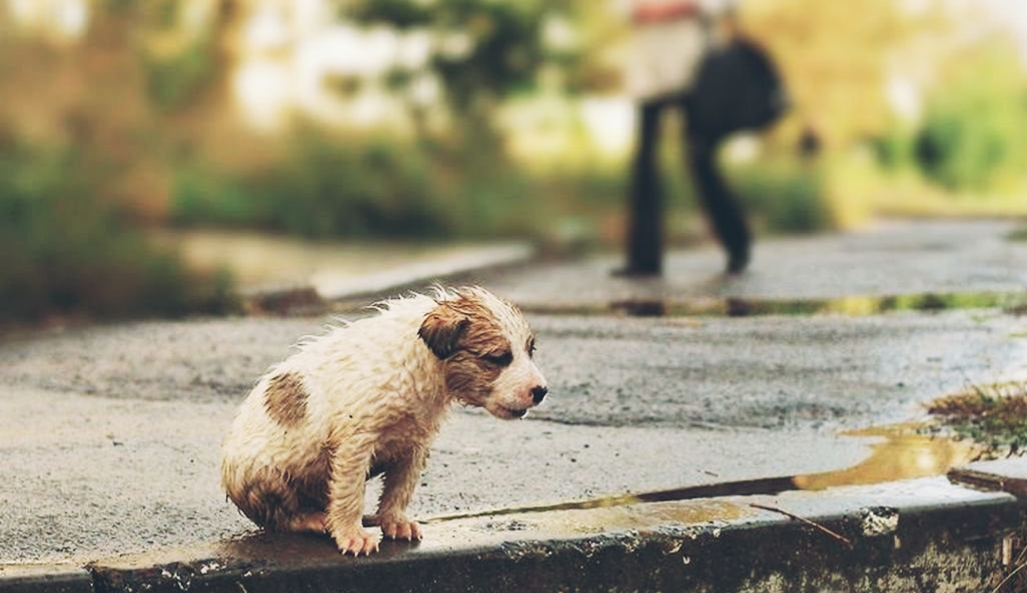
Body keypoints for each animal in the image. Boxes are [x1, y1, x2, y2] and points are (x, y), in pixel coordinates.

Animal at [221, 287, 550, 554]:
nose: (541, 391)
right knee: (280, 516)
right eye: (497, 358)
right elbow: (350, 493)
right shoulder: (355, 443)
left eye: (530, 351)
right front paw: (351, 534)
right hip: (265, 473)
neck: (419, 363)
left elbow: (399, 489)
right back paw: (315, 519)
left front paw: (394, 521)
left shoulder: (415, 445)